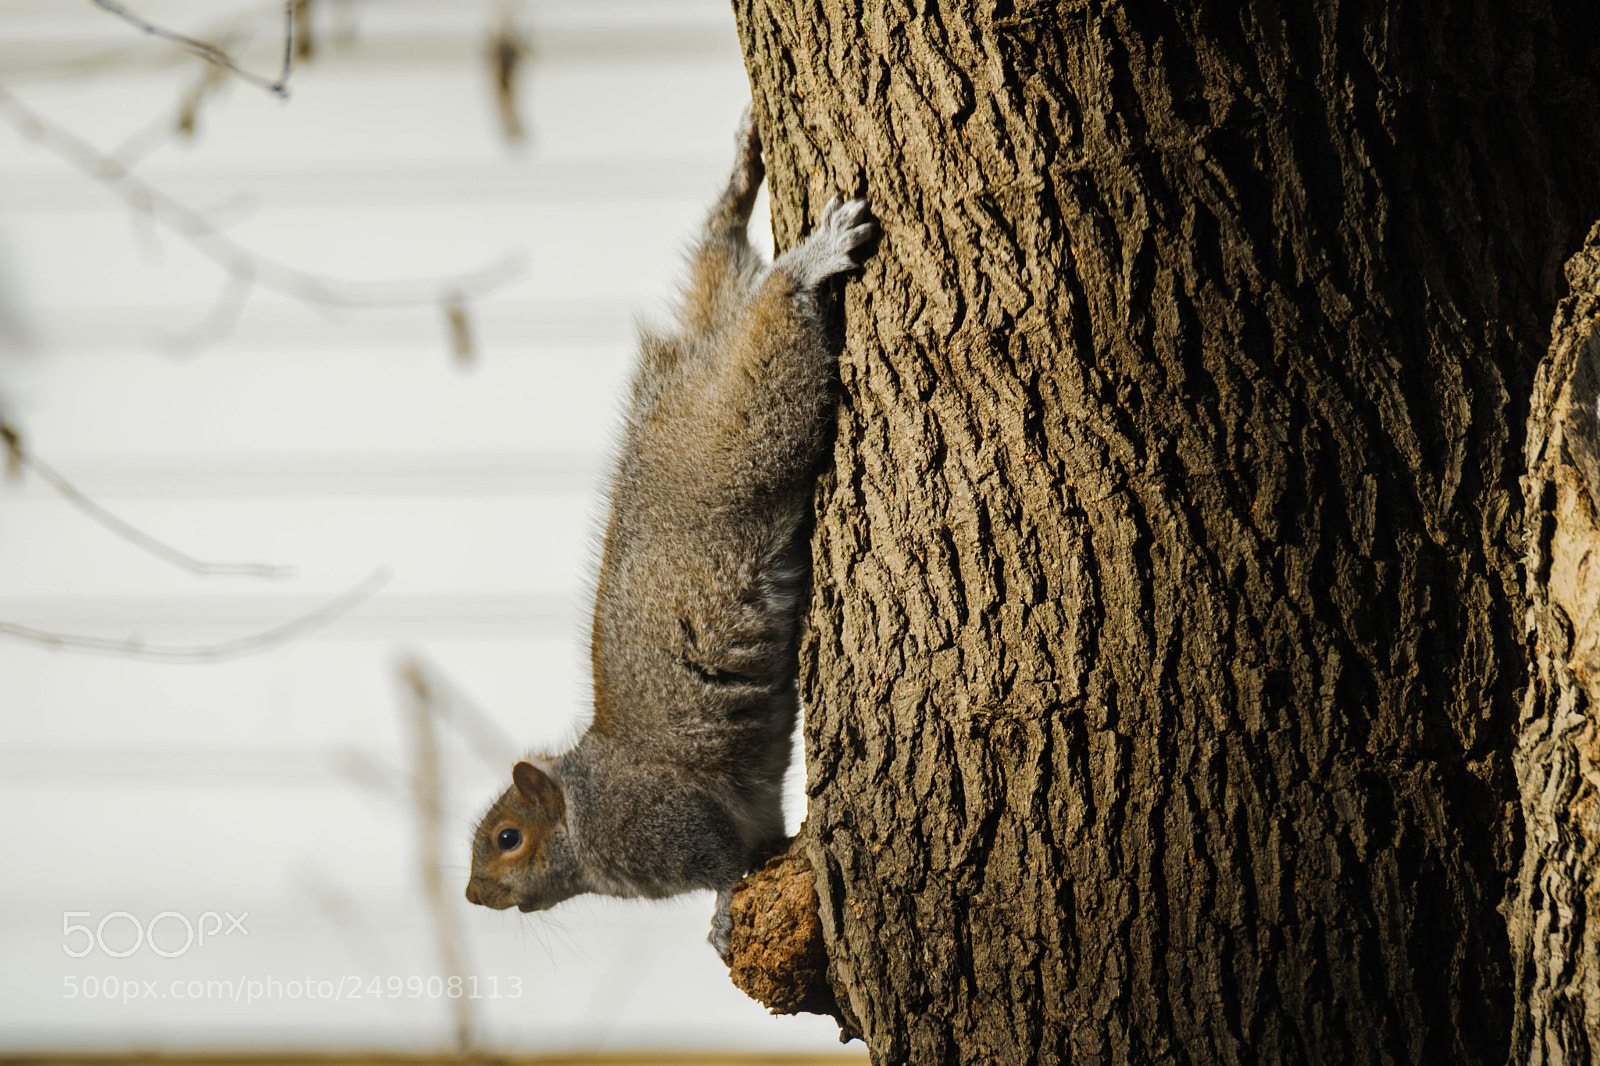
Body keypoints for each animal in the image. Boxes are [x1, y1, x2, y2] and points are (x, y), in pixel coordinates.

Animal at [464, 111, 877, 959]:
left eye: (508, 839)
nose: (472, 895)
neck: (585, 811)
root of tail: (687, 370)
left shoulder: (674, 825)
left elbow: (728, 866)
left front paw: (720, 919)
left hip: (744, 429)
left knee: (772, 318)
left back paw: (810, 259)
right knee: (725, 259)